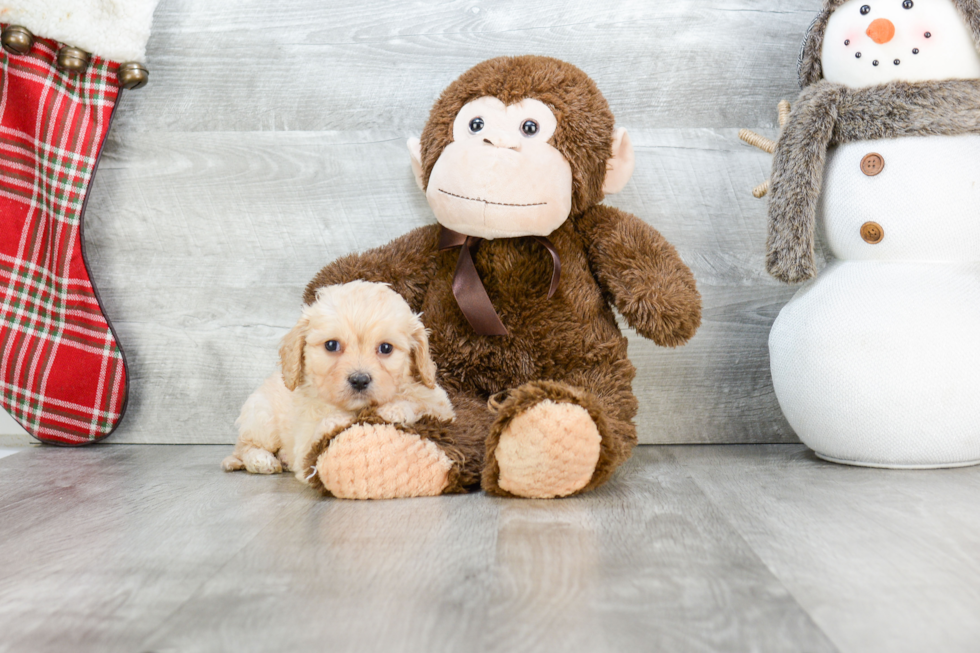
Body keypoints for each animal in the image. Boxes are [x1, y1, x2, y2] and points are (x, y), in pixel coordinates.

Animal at [222, 278, 456, 478]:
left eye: (386, 348)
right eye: (331, 345)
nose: (360, 380)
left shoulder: (442, 406)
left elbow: (423, 405)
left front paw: (395, 409)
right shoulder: (304, 443)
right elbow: (315, 437)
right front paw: (336, 420)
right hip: (262, 418)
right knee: (245, 446)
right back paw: (262, 460)